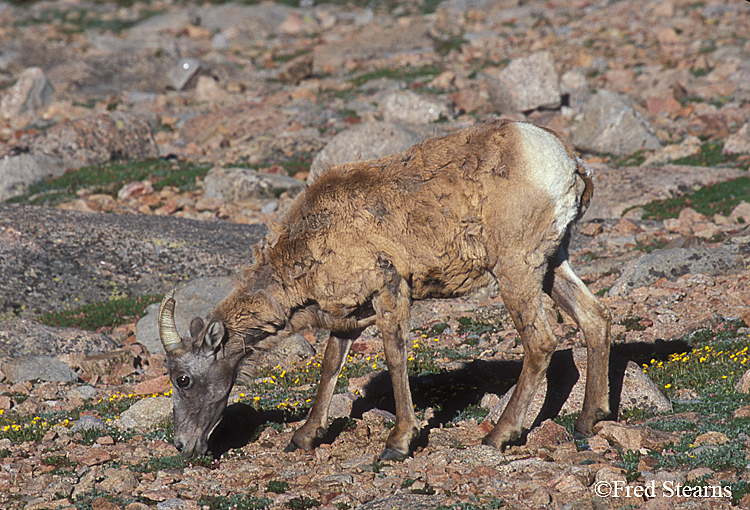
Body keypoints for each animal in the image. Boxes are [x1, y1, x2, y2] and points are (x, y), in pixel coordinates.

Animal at [157, 119, 612, 458]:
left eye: (183, 379)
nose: (182, 445)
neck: (310, 241)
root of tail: (568, 165)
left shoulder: (388, 287)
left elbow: (395, 357)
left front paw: (398, 443)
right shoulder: (348, 315)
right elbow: (330, 364)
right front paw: (303, 437)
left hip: (516, 266)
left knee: (541, 341)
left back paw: (498, 435)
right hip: (551, 262)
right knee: (594, 317)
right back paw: (588, 420)